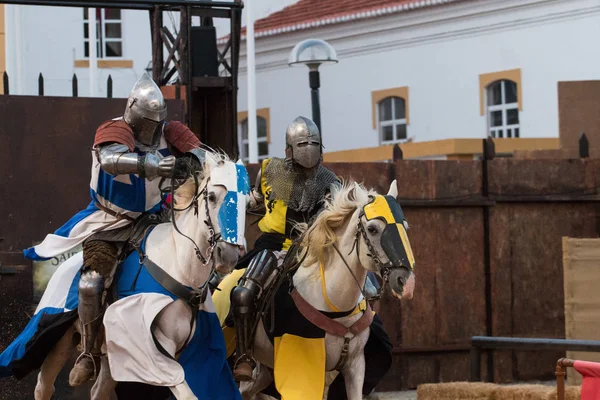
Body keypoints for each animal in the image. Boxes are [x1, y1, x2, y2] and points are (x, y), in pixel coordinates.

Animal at [0, 151, 248, 400]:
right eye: (213, 197)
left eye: (246, 203)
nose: (228, 255)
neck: (179, 267)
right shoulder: (155, 350)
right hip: (57, 340)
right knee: (44, 385)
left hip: (112, 356)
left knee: (98, 390)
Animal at [232, 180, 414, 400]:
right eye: (372, 229)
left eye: (404, 227)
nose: (406, 282)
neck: (334, 304)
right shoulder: (306, 369)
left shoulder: (355, 366)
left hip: (264, 372)